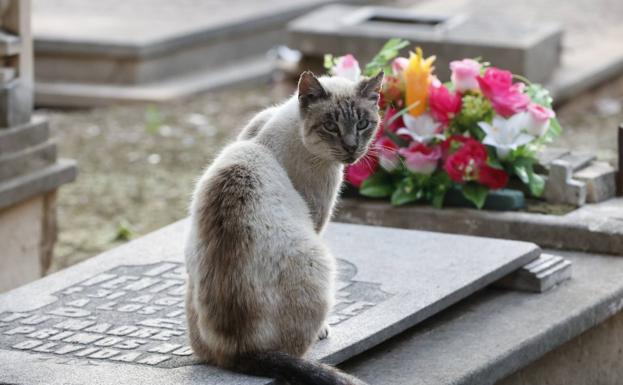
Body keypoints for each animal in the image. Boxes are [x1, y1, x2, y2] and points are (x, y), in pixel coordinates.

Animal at [183, 70, 382, 384]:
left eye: (363, 124)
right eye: (331, 126)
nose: (352, 148)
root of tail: (238, 352)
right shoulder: (317, 218)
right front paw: (325, 330)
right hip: (319, 262)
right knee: (294, 352)